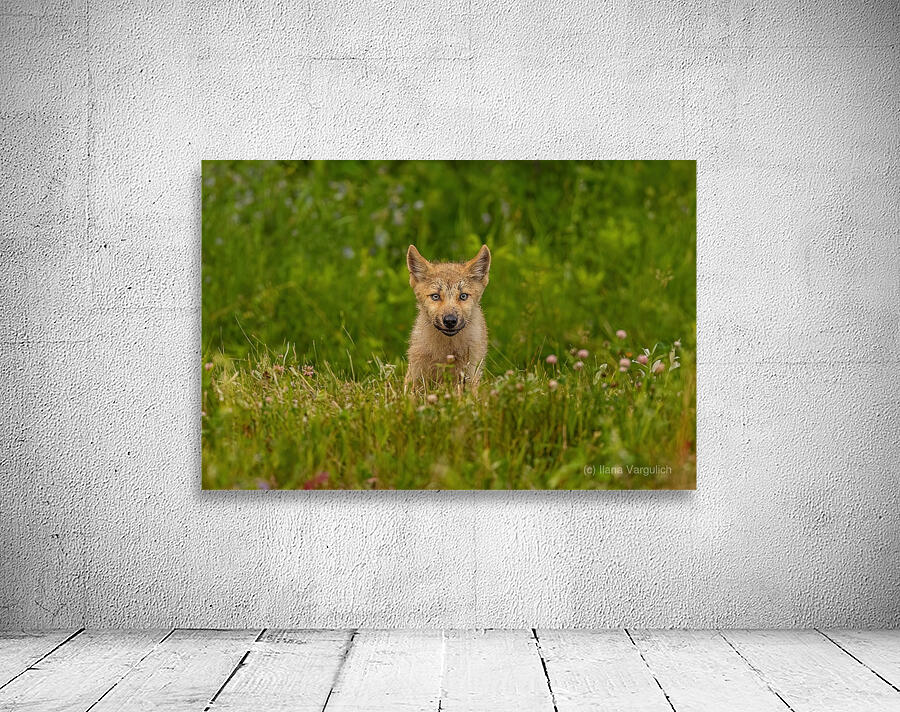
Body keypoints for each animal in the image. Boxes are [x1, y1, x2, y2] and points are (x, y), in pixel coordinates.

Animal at [405, 244, 491, 390]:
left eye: (463, 296)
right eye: (435, 296)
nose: (450, 321)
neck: (446, 351)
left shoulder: (468, 373)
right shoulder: (416, 372)